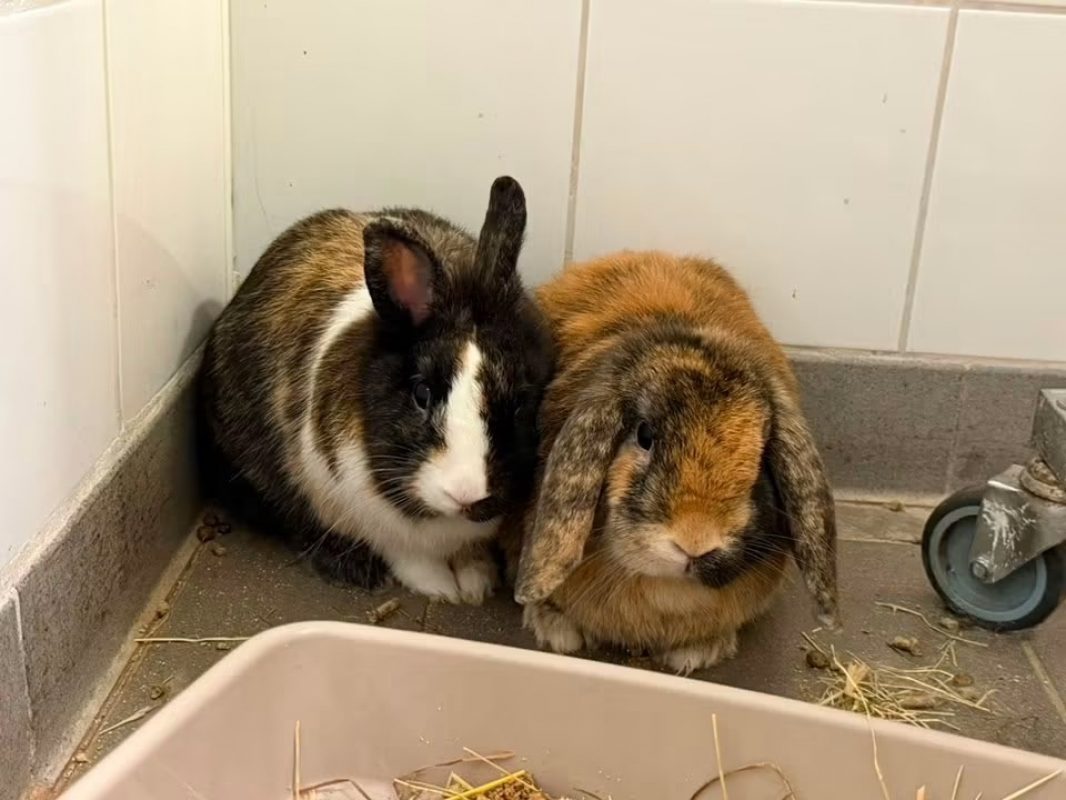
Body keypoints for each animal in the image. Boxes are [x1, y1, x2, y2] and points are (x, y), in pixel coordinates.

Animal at [198, 176, 554, 604]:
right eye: (422, 394)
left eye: (519, 403)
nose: (465, 492)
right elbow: (406, 556)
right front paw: (440, 589)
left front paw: (476, 584)